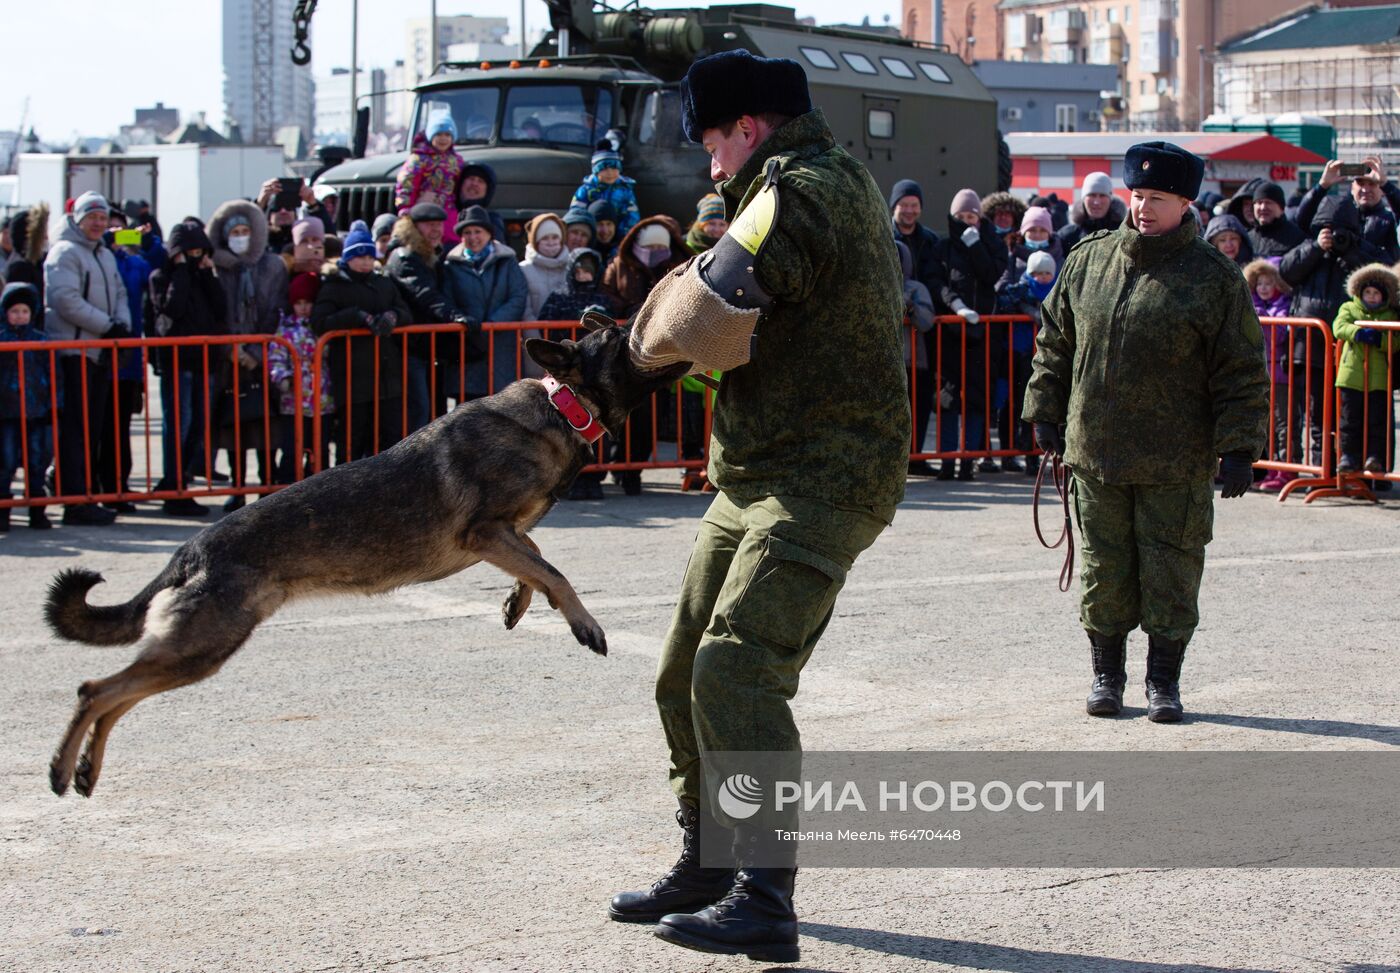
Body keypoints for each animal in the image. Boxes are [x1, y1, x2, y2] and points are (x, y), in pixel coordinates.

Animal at [38, 322, 683, 800]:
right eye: (622, 336)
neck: (563, 405)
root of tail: (190, 550)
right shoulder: (485, 532)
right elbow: (555, 570)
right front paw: (582, 621)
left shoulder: (503, 535)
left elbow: (538, 561)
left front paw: (517, 602)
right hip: (201, 646)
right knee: (95, 690)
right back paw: (61, 768)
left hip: (199, 650)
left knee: (114, 696)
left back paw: (85, 771)